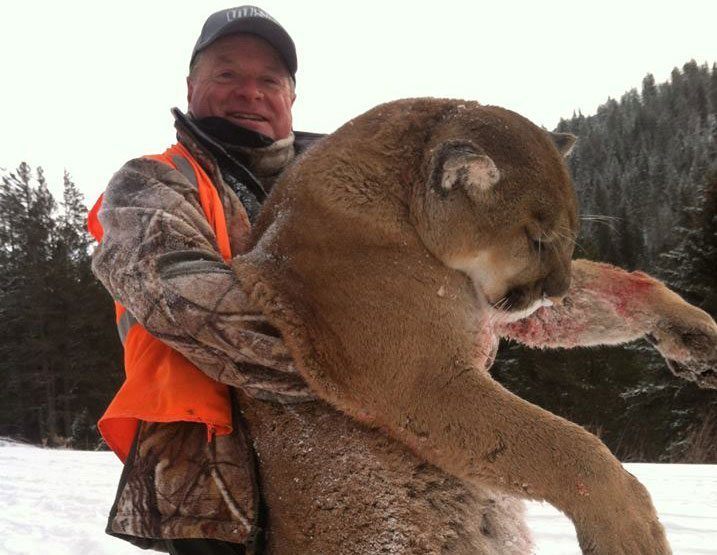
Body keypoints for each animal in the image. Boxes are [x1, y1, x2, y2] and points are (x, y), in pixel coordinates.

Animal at [232, 98, 717, 554]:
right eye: (536, 239)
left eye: (572, 234)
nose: (558, 289)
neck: (403, 200)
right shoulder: (426, 380)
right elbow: (570, 449)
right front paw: (632, 529)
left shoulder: (494, 308)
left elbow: (621, 285)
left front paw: (694, 335)